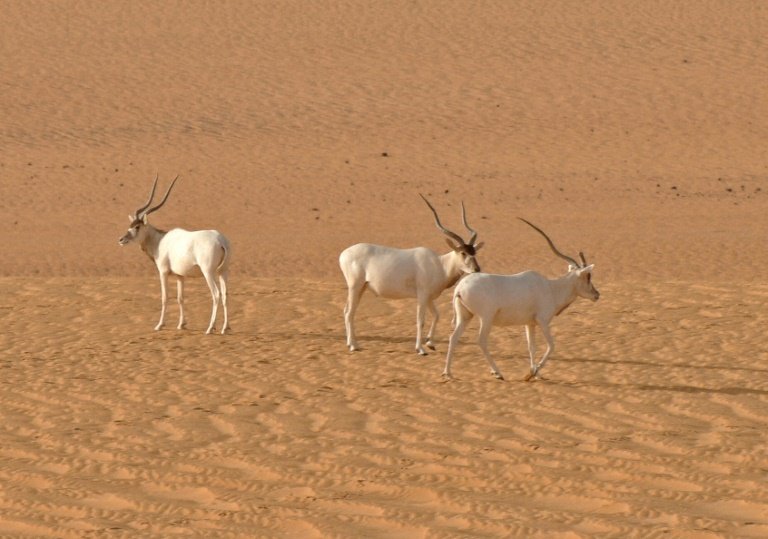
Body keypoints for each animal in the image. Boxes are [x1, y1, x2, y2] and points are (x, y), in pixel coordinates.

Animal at [119, 175, 231, 335]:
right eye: (130, 225)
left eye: (137, 226)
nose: (121, 239)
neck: (160, 240)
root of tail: (220, 240)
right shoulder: (180, 276)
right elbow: (180, 298)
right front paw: (181, 324)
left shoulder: (163, 272)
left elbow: (165, 297)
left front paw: (159, 325)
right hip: (223, 271)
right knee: (225, 294)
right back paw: (225, 328)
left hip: (208, 272)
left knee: (216, 294)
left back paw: (210, 328)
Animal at [339, 195, 483, 355]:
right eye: (463, 252)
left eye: (474, 252)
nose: (477, 269)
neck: (440, 264)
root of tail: (343, 254)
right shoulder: (422, 296)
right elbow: (421, 320)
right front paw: (420, 349)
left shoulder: (429, 297)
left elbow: (437, 315)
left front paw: (430, 343)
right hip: (355, 287)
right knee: (349, 312)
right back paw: (354, 345)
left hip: (362, 288)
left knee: (346, 310)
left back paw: (349, 343)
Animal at [444, 218, 599, 380]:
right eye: (588, 276)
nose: (596, 295)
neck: (551, 288)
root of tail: (459, 288)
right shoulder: (543, 321)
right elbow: (551, 345)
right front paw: (532, 373)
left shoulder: (530, 324)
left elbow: (532, 347)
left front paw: (535, 373)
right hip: (486, 318)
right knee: (481, 341)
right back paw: (497, 373)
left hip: (465, 316)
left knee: (453, 337)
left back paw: (448, 373)